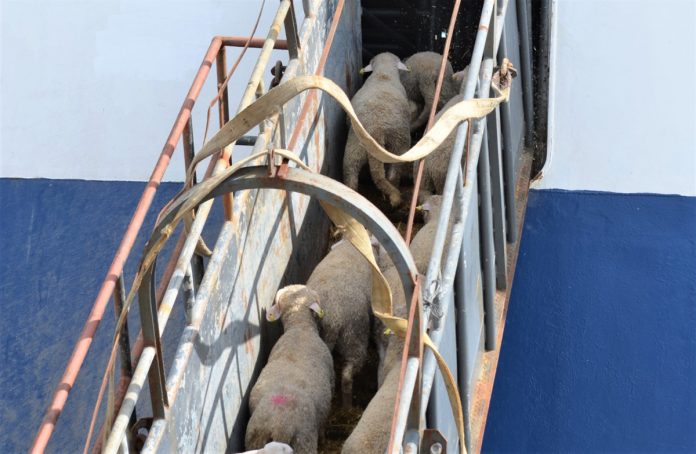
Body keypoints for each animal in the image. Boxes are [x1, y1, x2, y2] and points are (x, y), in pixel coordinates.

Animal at [342, 52, 414, 207]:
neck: (383, 75)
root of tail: (376, 132)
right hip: (398, 144)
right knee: (393, 173)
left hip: (354, 149)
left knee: (351, 176)